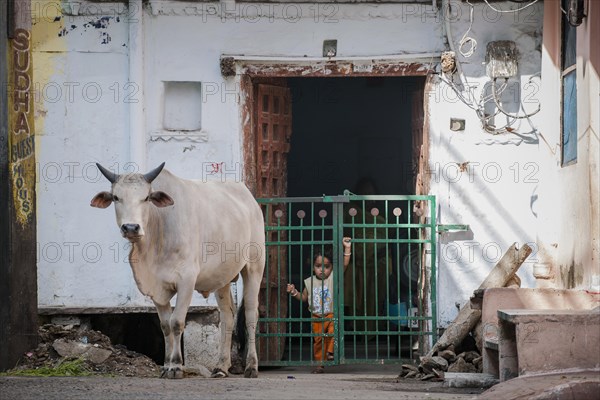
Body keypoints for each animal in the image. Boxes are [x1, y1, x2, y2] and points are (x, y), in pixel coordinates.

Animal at [91, 162, 264, 378]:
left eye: (146, 197)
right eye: (116, 197)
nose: (131, 227)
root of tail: (248, 197)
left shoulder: (186, 281)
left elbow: (177, 322)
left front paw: (175, 365)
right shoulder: (156, 289)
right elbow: (165, 326)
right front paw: (166, 365)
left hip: (254, 268)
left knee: (251, 315)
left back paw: (251, 366)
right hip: (222, 279)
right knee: (227, 316)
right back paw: (221, 367)